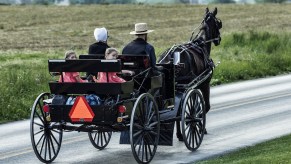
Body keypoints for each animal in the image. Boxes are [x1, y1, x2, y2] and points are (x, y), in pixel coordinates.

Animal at [159, 7, 222, 138]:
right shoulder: (204, 84)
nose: (219, 39)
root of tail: (170, 56)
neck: (202, 44)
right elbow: (203, 107)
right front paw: (202, 128)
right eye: (218, 23)